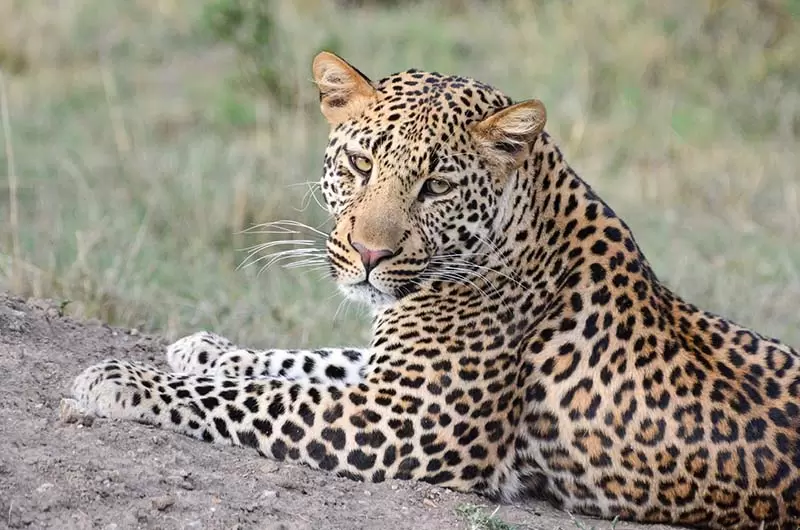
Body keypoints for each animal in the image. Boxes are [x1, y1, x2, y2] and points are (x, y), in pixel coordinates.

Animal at [71, 51, 800, 530]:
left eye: (436, 187)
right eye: (361, 163)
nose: (370, 253)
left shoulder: (404, 417)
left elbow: (258, 395)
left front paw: (119, 379)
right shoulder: (387, 374)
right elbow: (302, 361)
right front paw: (205, 348)